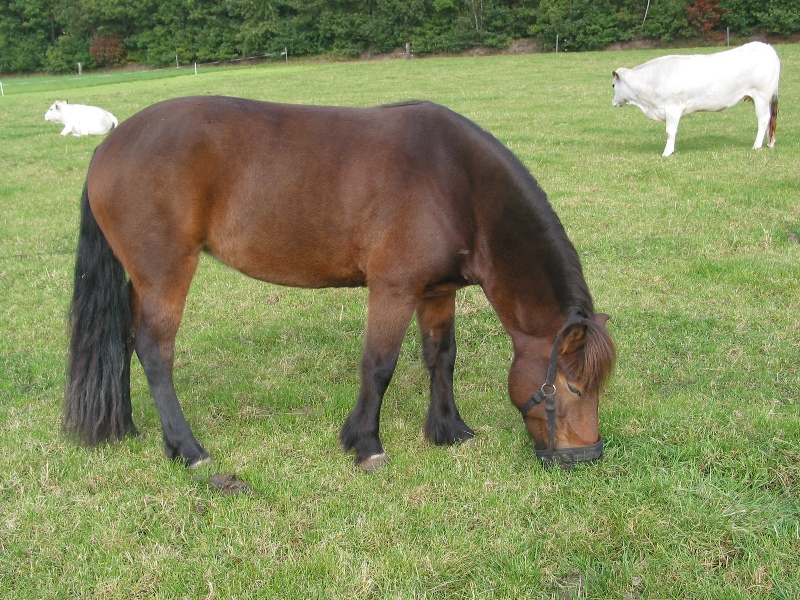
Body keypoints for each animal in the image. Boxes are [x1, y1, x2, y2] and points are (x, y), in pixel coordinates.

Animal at [64, 96, 616, 471]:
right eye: (570, 386)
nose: (586, 455)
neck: (456, 179)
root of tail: (107, 146)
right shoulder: (393, 289)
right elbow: (379, 365)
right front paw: (366, 443)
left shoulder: (437, 292)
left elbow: (441, 358)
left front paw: (448, 429)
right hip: (166, 274)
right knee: (155, 352)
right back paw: (188, 449)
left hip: (140, 281)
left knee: (122, 343)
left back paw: (129, 427)